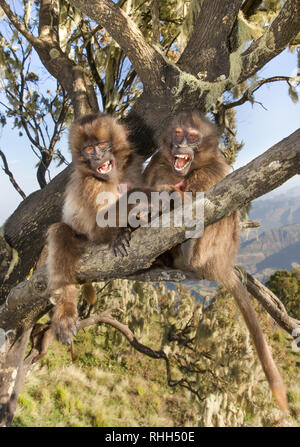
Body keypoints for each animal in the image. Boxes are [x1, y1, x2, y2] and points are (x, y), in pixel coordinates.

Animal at [47, 114, 143, 344]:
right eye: (88, 149)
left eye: (101, 145)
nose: (98, 156)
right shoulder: (90, 183)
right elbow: (99, 227)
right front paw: (120, 232)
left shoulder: (132, 166)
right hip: (83, 239)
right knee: (60, 232)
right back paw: (65, 309)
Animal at [143, 111, 288, 412]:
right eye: (178, 133)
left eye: (193, 137)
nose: (181, 146)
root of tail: (220, 265)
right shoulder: (158, 161)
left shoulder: (215, 171)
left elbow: (210, 202)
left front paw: (171, 198)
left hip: (210, 251)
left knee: (214, 213)